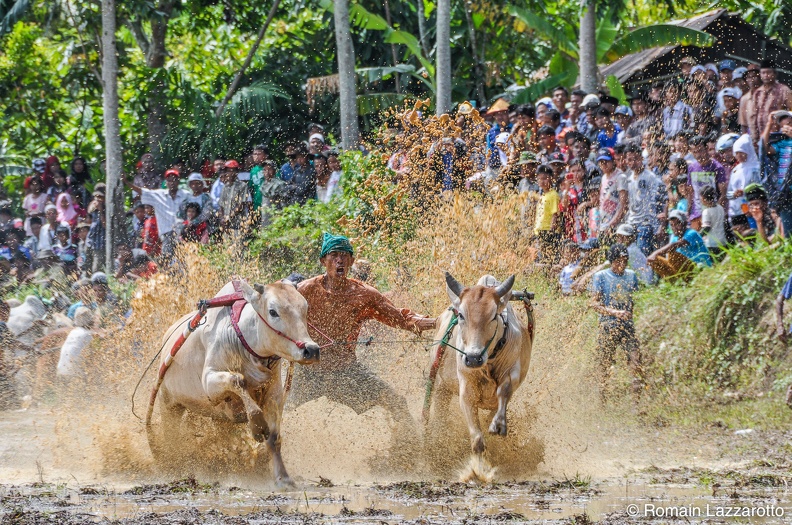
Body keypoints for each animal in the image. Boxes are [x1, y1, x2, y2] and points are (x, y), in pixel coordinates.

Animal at [150, 280, 320, 486]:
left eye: (305, 308)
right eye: (273, 311)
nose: (311, 350)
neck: (242, 339)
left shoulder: (274, 393)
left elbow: (273, 438)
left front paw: (283, 478)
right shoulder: (210, 381)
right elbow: (238, 380)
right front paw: (256, 424)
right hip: (169, 405)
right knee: (171, 437)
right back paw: (173, 466)